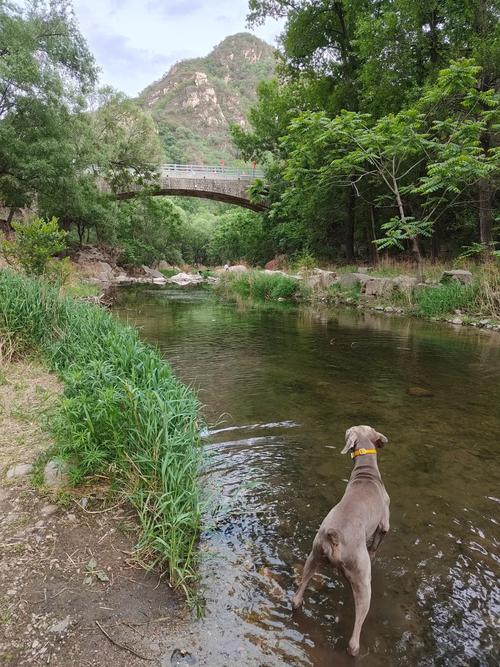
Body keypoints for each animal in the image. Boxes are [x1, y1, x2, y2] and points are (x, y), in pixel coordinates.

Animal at [292, 426, 390, 656]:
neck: (367, 474)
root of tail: (334, 535)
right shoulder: (384, 524)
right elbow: (377, 545)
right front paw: (375, 553)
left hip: (313, 556)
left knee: (297, 597)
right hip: (363, 581)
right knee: (354, 637)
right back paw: (355, 649)